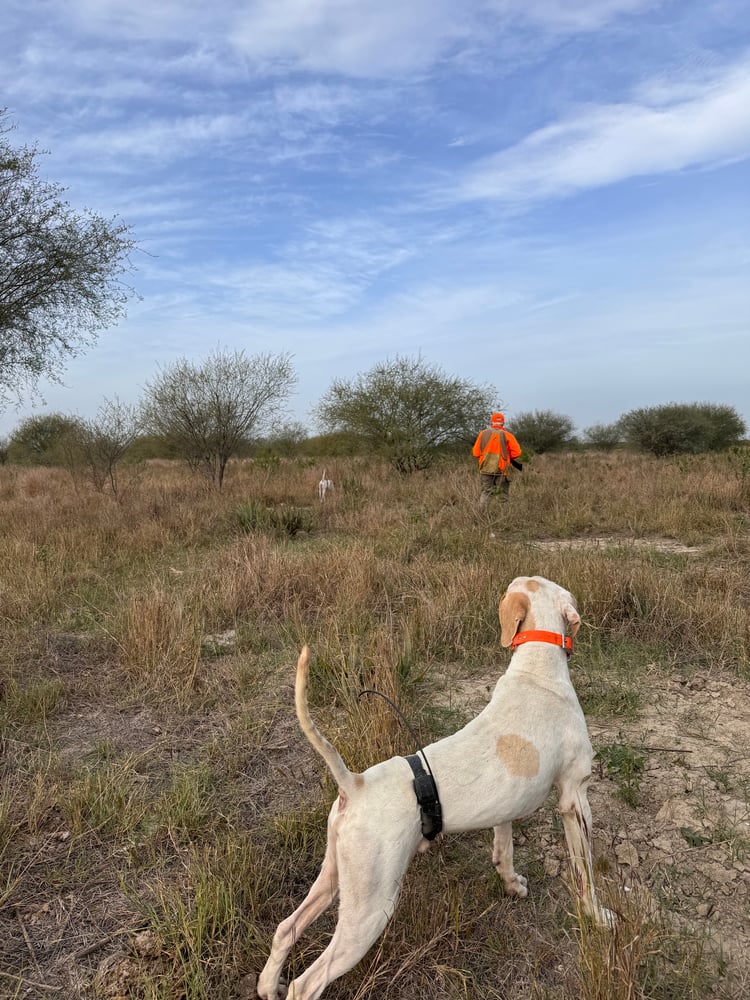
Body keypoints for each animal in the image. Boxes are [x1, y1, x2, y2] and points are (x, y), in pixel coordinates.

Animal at [258, 580, 612, 1000]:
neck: (536, 668)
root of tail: (354, 783)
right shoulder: (575, 799)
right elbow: (584, 872)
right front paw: (598, 915)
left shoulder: (506, 809)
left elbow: (504, 852)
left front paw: (511, 885)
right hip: (369, 912)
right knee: (306, 984)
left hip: (335, 878)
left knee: (285, 929)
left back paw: (268, 983)